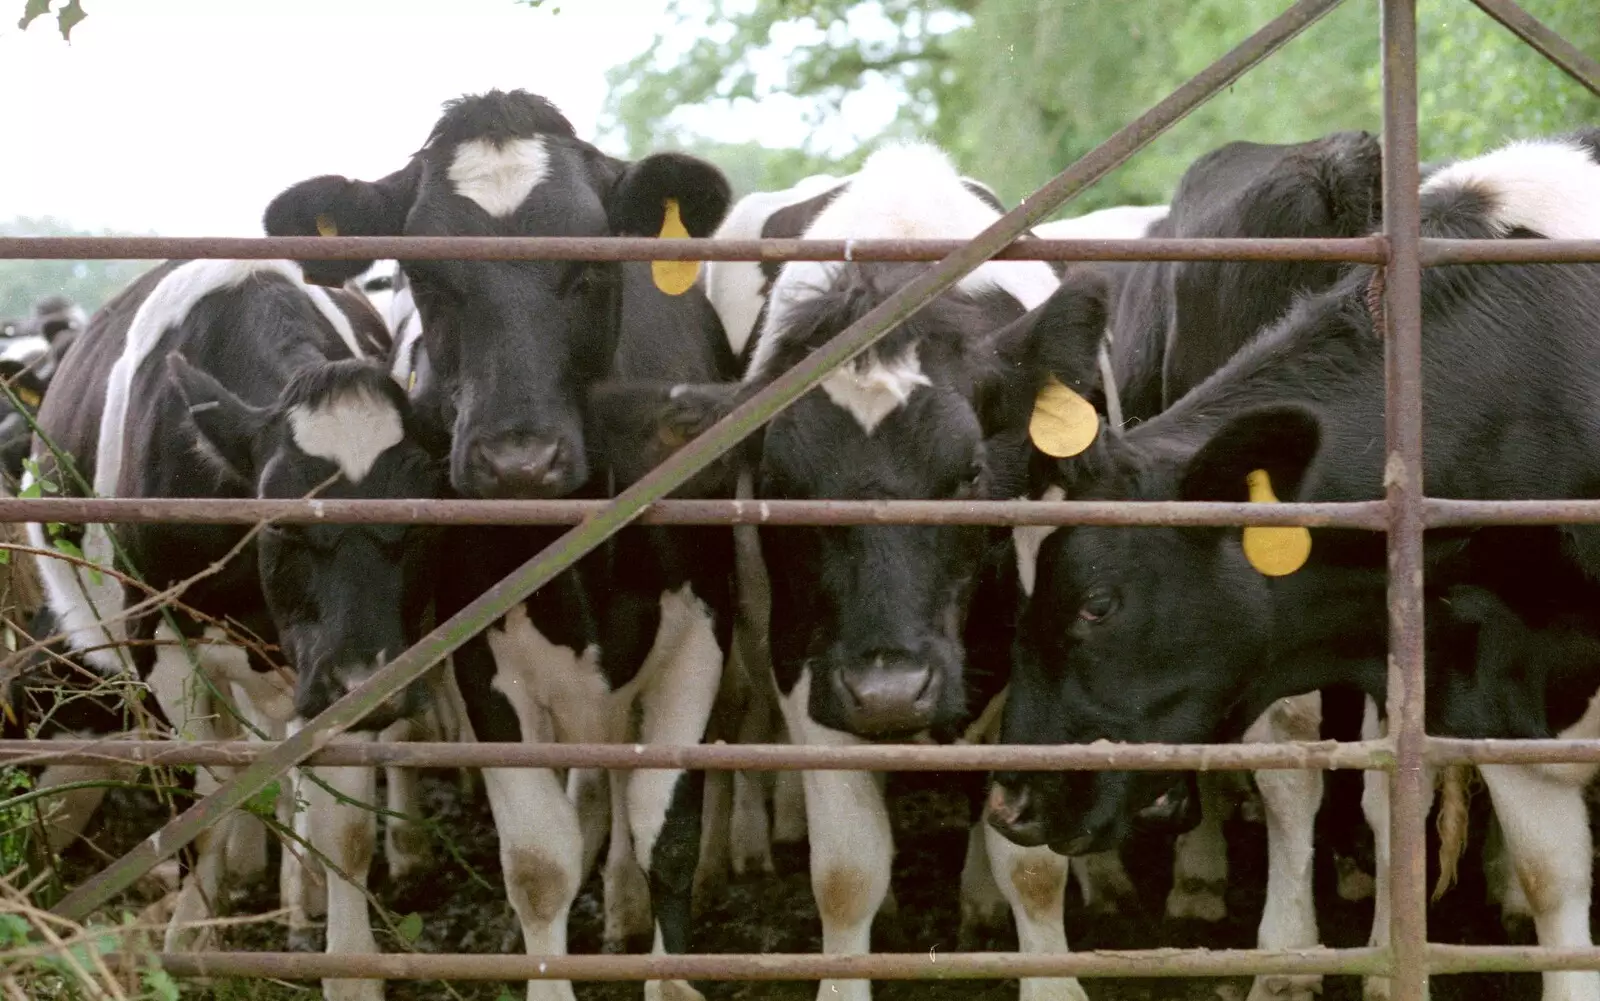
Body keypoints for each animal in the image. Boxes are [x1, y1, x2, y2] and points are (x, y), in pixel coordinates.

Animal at [28, 257, 441, 997]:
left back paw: (299, 899)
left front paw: (349, 967)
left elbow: (343, 829)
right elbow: (203, 805)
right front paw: (189, 941)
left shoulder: (350, 674)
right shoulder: (160, 643)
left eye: (420, 518)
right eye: (278, 520)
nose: (360, 676)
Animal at [264, 91, 736, 997]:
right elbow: (539, 862)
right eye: (427, 276)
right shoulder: (482, 657)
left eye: (592, 268)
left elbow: (667, 834)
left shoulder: (702, 632)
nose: (519, 460)